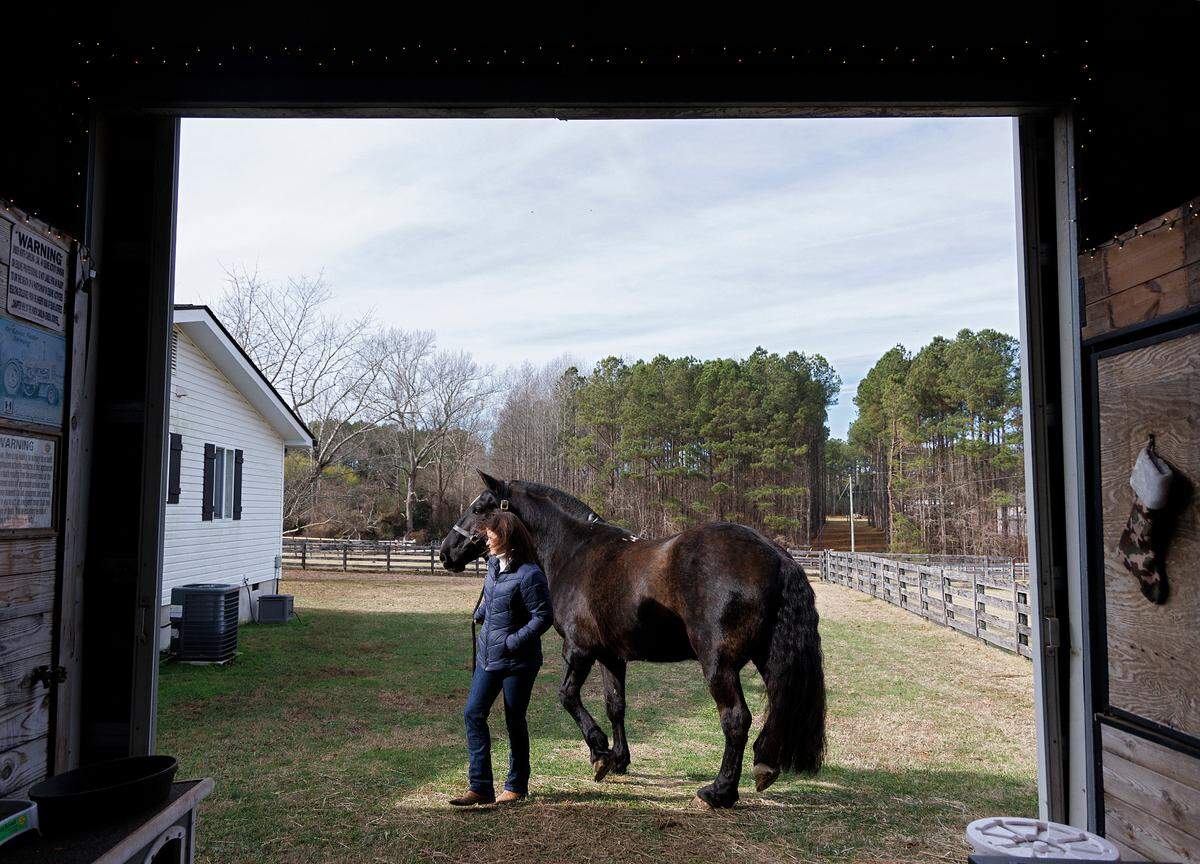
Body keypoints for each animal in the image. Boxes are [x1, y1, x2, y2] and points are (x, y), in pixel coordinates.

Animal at [438, 471, 826, 808]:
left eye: (479, 508)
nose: (445, 553)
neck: (575, 551)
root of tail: (776, 555)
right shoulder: (611, 656)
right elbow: (616, 705)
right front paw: (619, 758)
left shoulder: (578, 650)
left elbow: (567, 696)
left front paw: (599, 752)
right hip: (767, 656)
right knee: (777, 703)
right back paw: (764, 766)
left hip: (719, 663)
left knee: (736, 719)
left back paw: (719, 792)